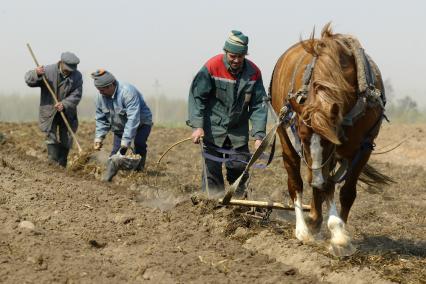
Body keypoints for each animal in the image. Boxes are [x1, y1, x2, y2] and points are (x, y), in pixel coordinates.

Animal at [272, 23, 392, 255]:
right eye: (302, 137)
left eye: (330, 142)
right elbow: (326, 186)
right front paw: (336, 233)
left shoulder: (363, 148)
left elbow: (345, 192)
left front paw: (340, 234)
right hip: (284, 134)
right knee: (296, 180)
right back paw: (303, 229)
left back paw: (316, 219)